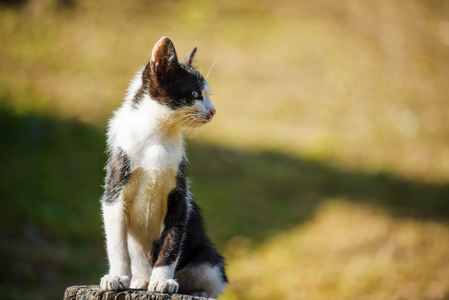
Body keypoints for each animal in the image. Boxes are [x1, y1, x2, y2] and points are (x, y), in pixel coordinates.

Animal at [100, 35, 228, 298]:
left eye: (208, 94)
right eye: (194, 93)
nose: (213, 111)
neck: (157, 134)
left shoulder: (180, 198)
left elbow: (172, 242)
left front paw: (162, 281)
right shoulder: (114, 191)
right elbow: (117, 243)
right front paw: (117, 276)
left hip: (209, 259)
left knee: (211, 278)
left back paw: (198, 292)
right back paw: (140, 281)